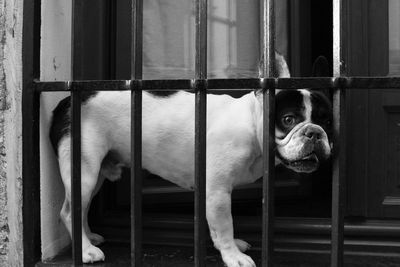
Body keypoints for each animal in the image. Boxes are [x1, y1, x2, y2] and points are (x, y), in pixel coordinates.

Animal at [50, 53, 332, 266]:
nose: (314, 132)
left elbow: (217, 227)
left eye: (327, 119)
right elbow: (225, 224)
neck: (252, 126)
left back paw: (87, 238)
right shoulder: (217, 192)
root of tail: (67, 102)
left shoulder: (213, 194)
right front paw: (232, 255)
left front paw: (228, 247)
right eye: (288, 119)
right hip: (85, 170)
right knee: (69, 211)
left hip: (94, 173)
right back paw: (85, 250)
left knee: (81, 207)